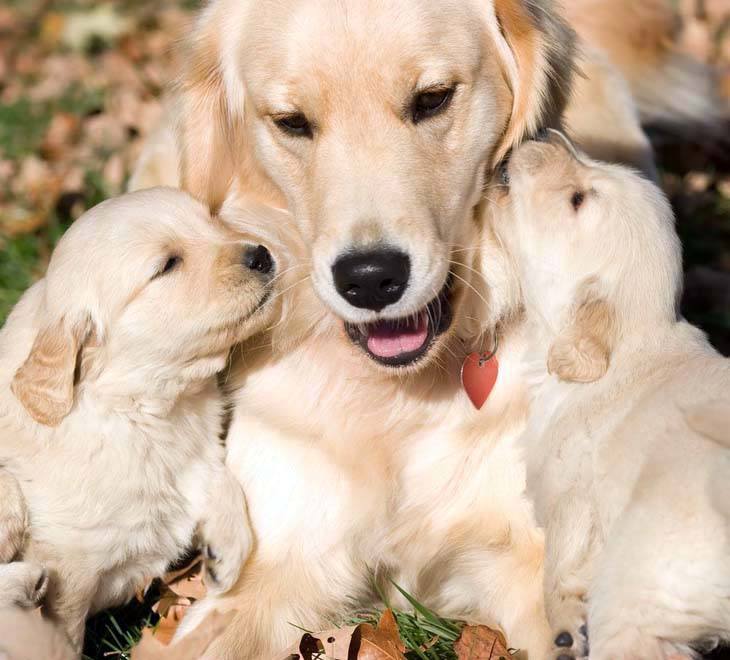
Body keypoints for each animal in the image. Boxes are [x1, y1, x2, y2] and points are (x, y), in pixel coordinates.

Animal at [0, 188, 278, 652]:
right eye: (168, 265)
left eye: (213, 221)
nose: (262, 255)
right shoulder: (69, 566)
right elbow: (64, 635)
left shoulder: (194, 455)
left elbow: (220, 478)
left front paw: (226, 555)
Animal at [490, 131, 728, 656]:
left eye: (578, 199)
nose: (540, 135)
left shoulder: (570, 496)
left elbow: (556, 568)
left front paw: (562, 627)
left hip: (638, 581)